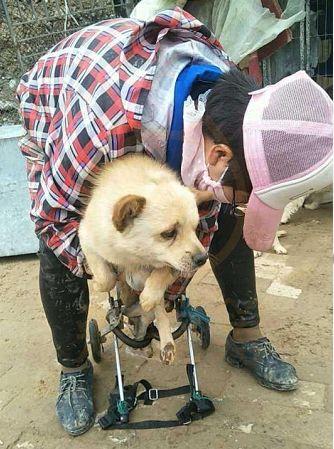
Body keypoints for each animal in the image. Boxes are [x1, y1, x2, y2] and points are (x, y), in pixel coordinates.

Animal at [79, 154, 210, 364]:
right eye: (169, 233)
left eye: (195, 228)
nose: (203, 258)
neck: (134, 255)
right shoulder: (86, 237)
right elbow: (106, 277)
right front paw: (99, 283)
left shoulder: (172, 266)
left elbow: (161, 275)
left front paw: (149, 295)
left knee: (155, 313)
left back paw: (165, 343)